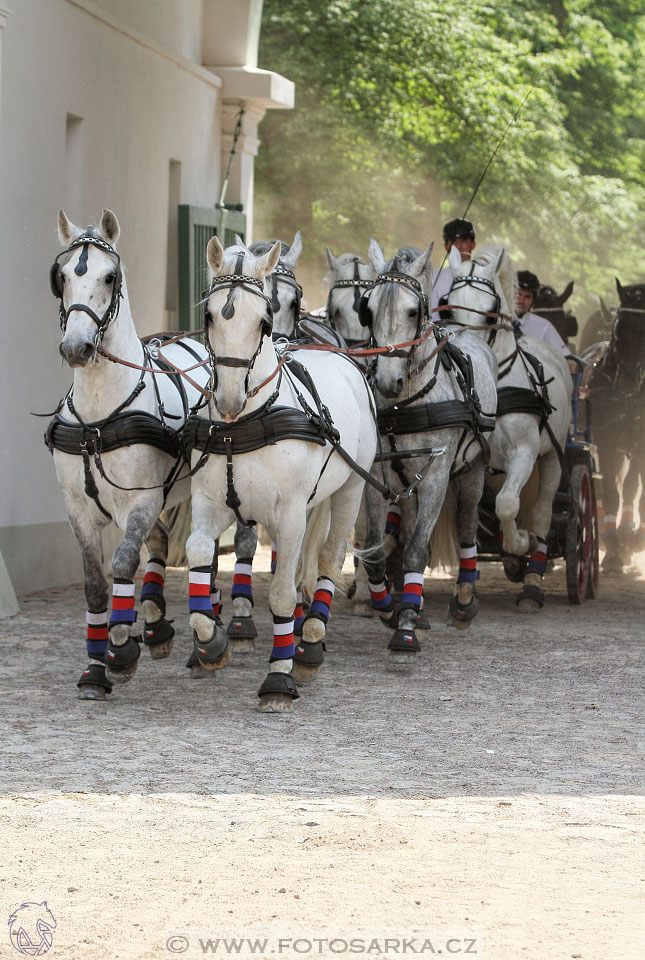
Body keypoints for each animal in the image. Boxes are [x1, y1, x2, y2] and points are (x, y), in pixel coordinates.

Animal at [51, 212, 211, 696]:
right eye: (62, 276)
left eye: (110, 276)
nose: (76, 347)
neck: (99, 417)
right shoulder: (77, 509)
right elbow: (95, 584)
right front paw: (94, 670)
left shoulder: (140, 500)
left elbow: (123, 563)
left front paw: (120, 651)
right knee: (162, 542)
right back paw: (158, 626)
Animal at [184, 237, 378, 708]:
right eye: (209, 315)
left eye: (264, 320)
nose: (229, 400)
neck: (246, 422)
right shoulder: (210, 504)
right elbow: (198, 554)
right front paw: (211, 643)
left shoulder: (289, 515)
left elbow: (283, 593)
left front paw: (279, 675)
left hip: (350, 489)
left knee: (328, 557)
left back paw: (310, 642)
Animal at [360, 242, 496, 660]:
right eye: (368, 308)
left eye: (412, 311)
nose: (387, 382)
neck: (405, 403)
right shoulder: (378, 473)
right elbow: (376, 550)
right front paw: (391, 608)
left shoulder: (437, 473)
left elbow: (418, 549)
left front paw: (405, 628)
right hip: (407, 482)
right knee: (406, 523)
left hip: (473, 470)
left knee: (467, 525)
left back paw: (463, 600)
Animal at [442, 244, 568, 612]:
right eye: (448, 306)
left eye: (488, 313)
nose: (463, 352)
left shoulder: (524, 453)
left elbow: (508, 505)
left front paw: (521, 545)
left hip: (553, 456)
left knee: (541, 513)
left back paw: (531, 582)